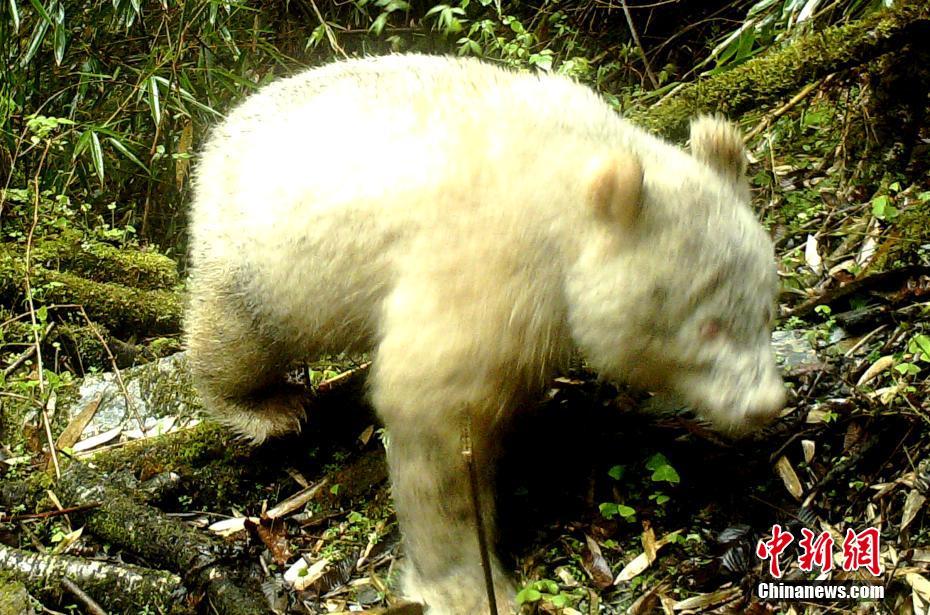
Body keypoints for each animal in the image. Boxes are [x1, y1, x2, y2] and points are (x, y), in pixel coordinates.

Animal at [187, 54, 784, 615]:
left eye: (767, 309)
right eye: (708, 325)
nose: (766, 404)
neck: (567, 180)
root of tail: (220, 130)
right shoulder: (488, 260)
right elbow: (435, 409)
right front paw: (465, 585)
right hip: (258, 258)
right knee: (236, 337)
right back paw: (265, 407)